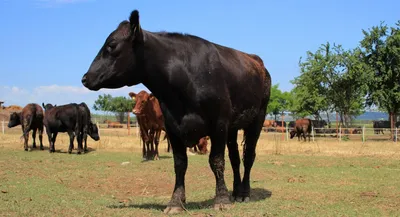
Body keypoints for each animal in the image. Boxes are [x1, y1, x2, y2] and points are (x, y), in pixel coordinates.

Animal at [79, 9, 270, 214]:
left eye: (112, 45)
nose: (85, 78)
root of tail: (258, 63)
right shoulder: (173, 127)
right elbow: (180, 164)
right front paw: (176, 201)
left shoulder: (218, 124)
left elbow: (216, 160)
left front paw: (221, 199)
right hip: (232, 127)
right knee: (235, 157)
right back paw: (235, 191)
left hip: (257, 118)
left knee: (248, 156)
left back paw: (244, 193)